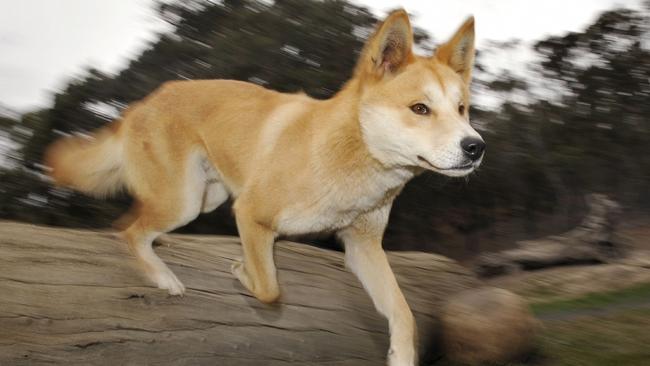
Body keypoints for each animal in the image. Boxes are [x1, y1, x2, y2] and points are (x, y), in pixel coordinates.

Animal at [45, 10, 480, 364]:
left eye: (462, 109)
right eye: (420, 109)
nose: (476, 147)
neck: (350, 159)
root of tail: (141, 104)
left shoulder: (363, 246)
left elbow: (404, 314)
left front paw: (400, 356)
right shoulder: (250, 214)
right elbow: (270, 288)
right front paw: (242, 271)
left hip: (206, 197)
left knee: (137, 223)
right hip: (185, 201)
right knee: (127, 229)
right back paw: (163, 277)